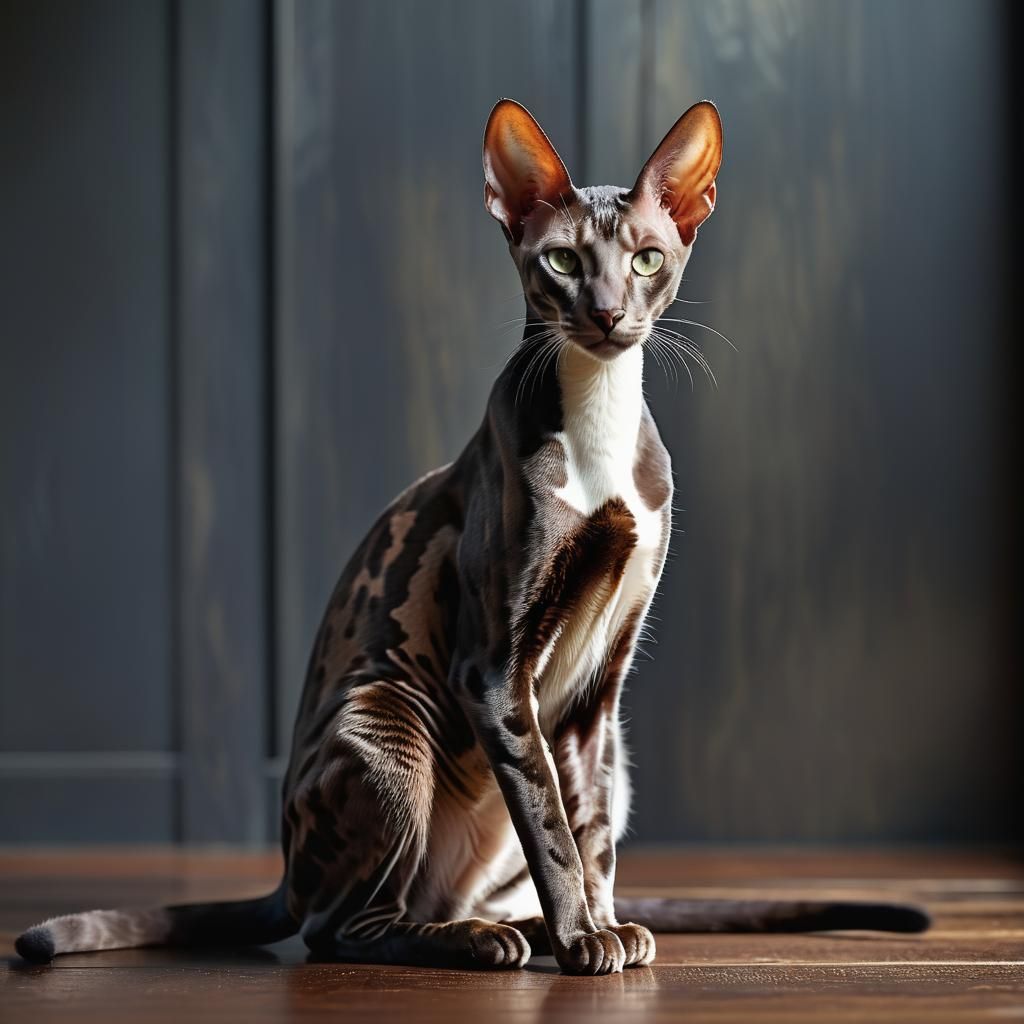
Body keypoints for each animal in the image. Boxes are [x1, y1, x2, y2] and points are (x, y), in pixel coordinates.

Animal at [16, 99, 929, 970]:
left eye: (645, 259)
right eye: (562, 262)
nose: (606, 314)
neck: (599, 424)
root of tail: (284, 870)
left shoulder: (600, 691)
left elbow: (589, 833)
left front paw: (603, 929)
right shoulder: (494, 670)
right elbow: (552, 828)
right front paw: (582, 941)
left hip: (598, 754)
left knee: (441, 891)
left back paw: (508, 926)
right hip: (387, 726)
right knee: (336, 926)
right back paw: (477, 943)